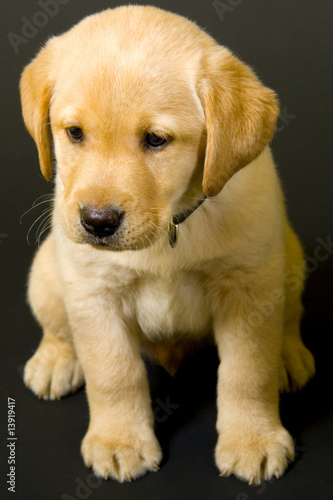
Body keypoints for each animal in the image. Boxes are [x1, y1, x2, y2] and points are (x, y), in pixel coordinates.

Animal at [20, 4, 314, 484]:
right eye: (74, 133)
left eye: (156, 140)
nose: (97, 222)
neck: (171, 228)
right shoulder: (94, 294)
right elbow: (114, 374)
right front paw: (119, 440)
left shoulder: (248, 291)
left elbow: (248, 372)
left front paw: (252, 439)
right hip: (47, 270)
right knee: (57, 327)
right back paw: (56, 361)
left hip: (287, 259)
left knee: (290, 319)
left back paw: (289, 356)